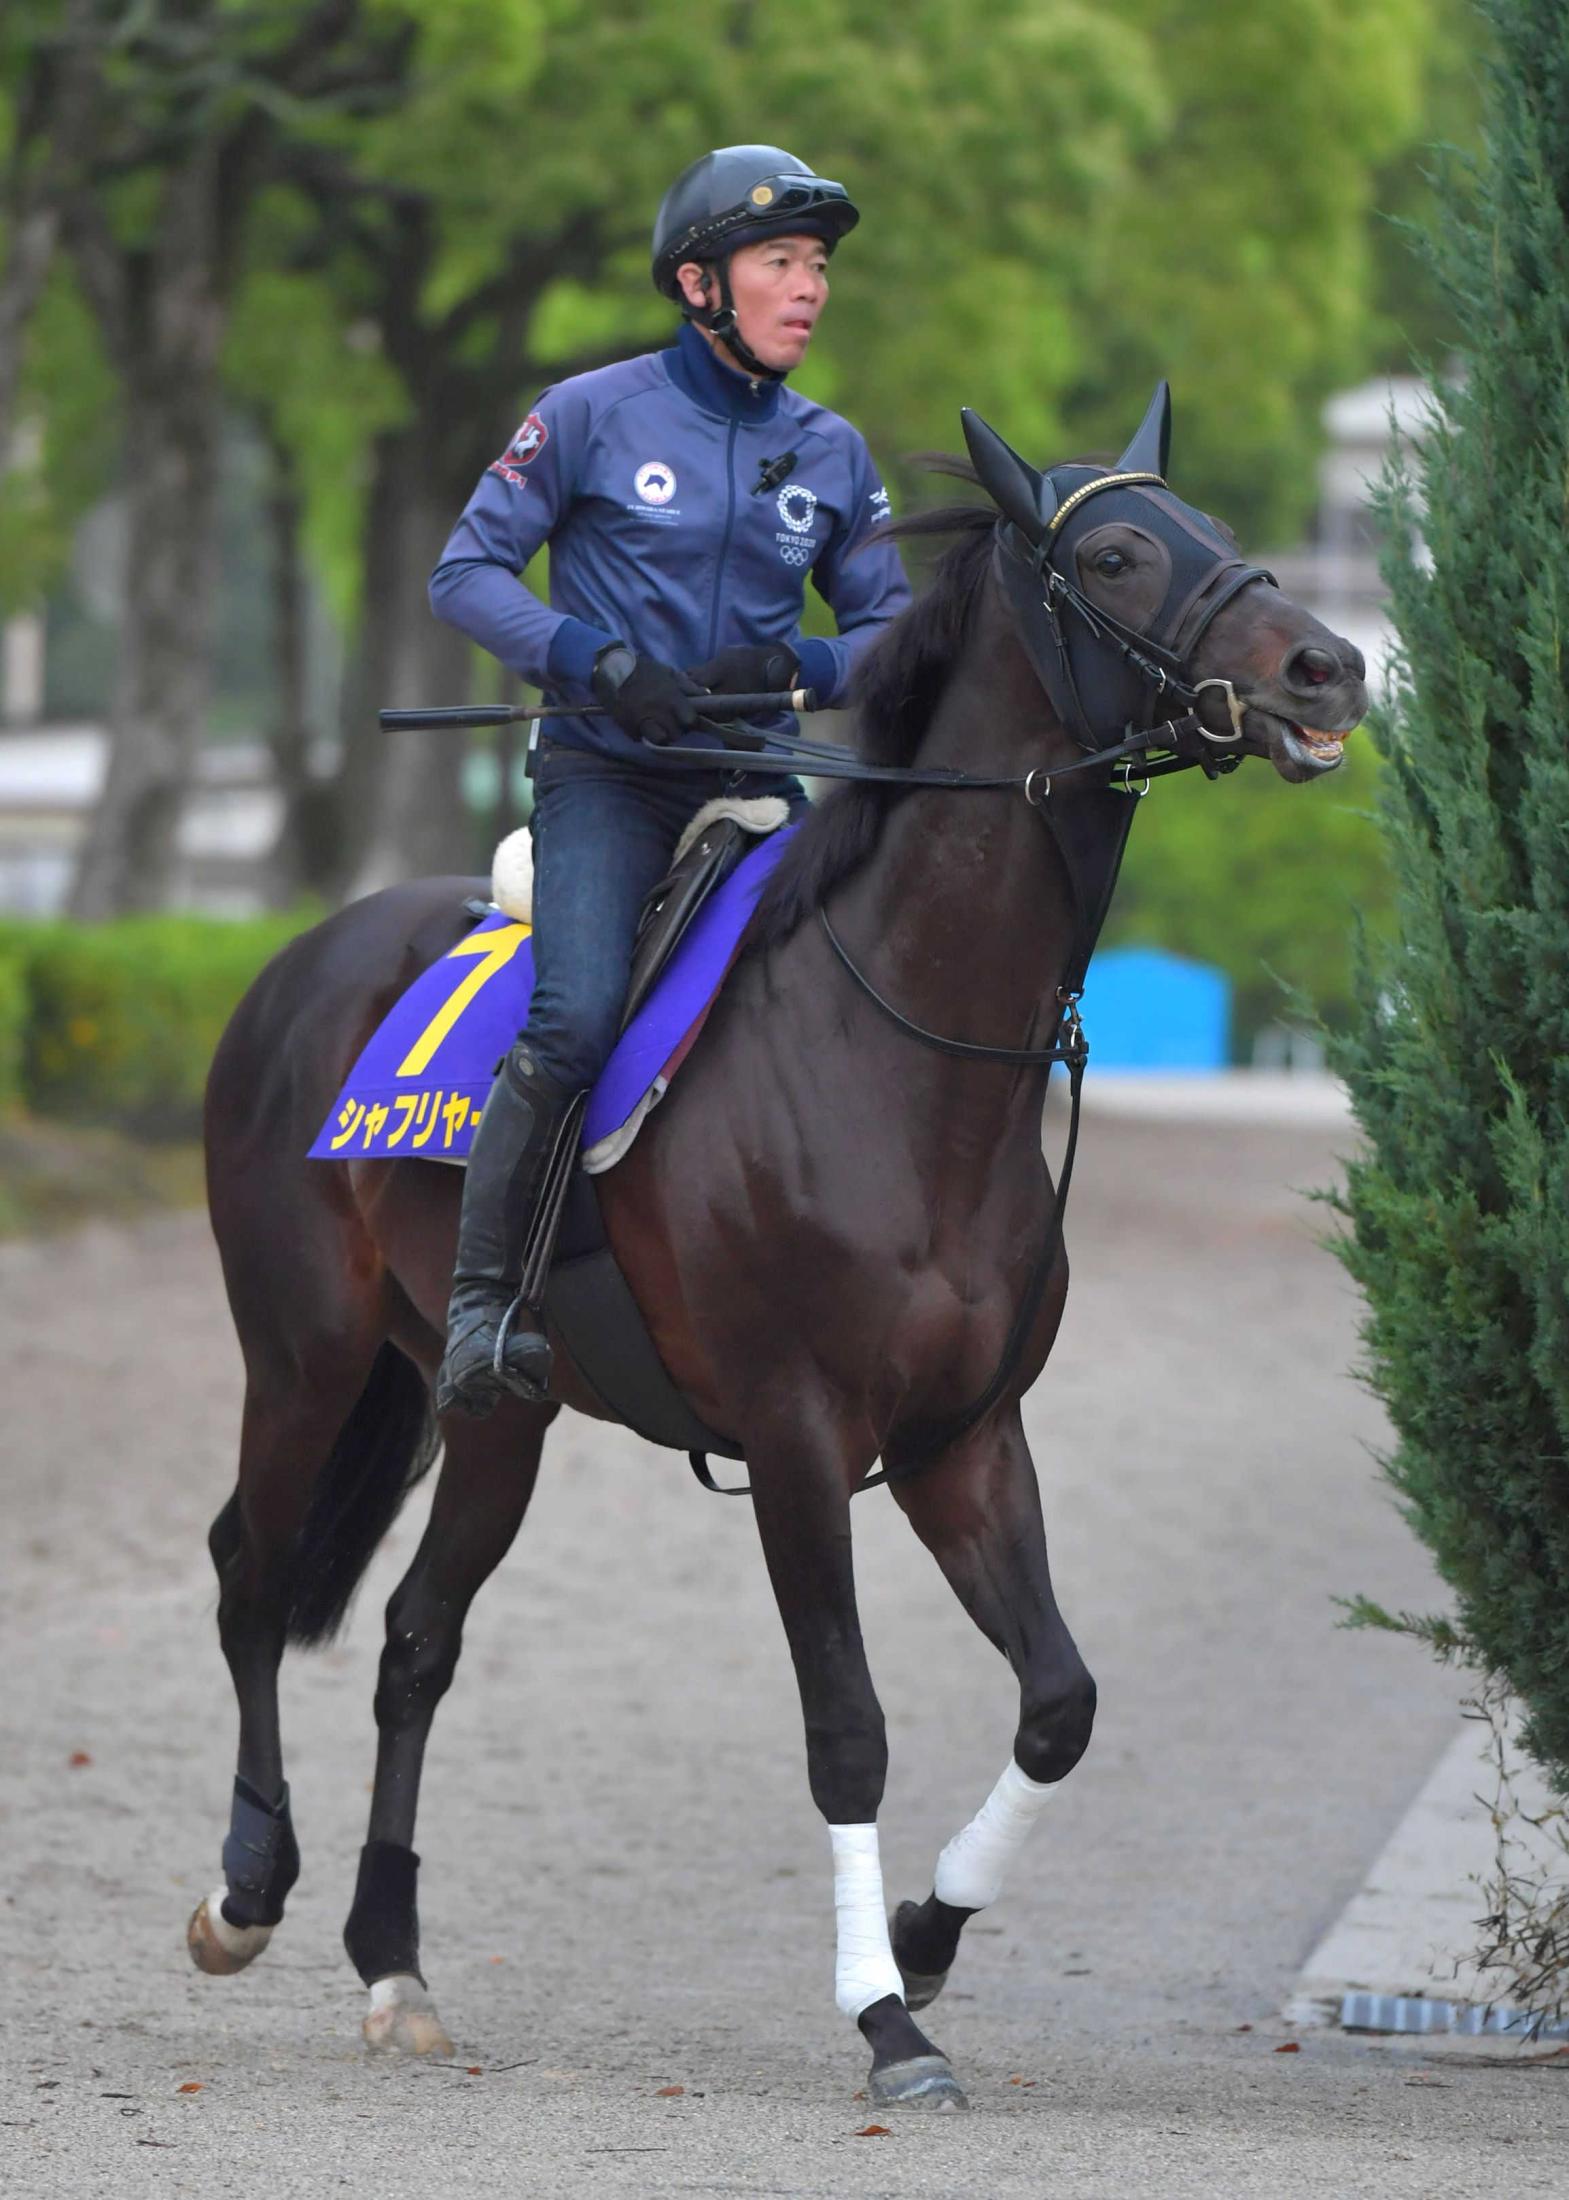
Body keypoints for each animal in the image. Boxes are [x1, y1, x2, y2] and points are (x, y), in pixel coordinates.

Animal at [187, 391, 1355, 2112]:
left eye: (1207, 521)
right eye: (1119, 555)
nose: (1329, 668)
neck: (905, 1052)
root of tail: (303, 962)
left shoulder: (962, 1440)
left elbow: (1060, 1703)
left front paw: (931, 1934)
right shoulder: (803, 1437)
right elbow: (847, 1725)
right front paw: (885, 2017)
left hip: (496, 1412)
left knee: (413, 1642)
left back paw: (392, 1960)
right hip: (301, 1356)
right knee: (252, 1581)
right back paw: (246, 1889)